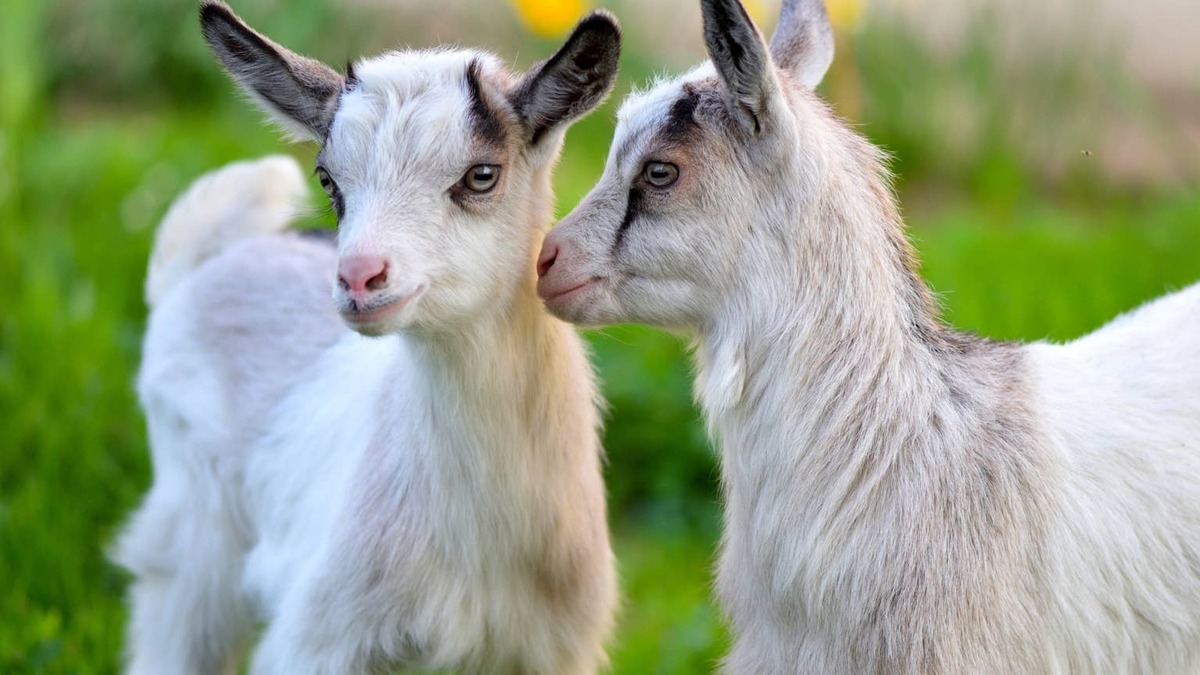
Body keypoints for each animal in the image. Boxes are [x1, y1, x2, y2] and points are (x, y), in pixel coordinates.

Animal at [114, 2, 621, 673]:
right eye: (328, 180)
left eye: (482, 175)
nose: (359, 276)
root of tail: (206, 257)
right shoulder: (317, 639)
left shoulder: (550, 649)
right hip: (191, 538)